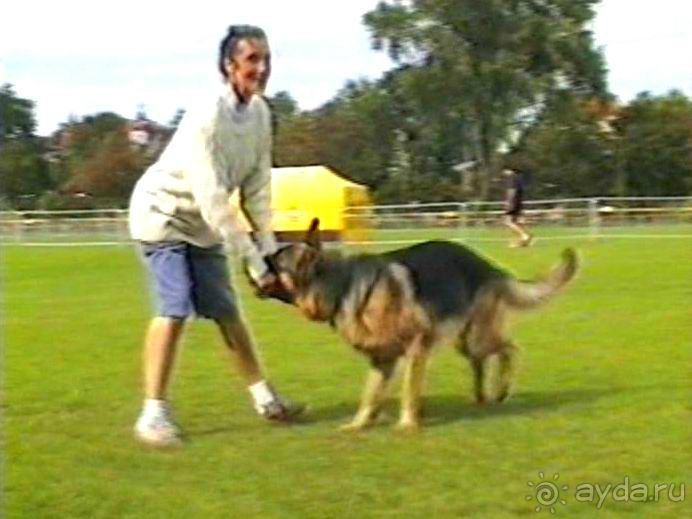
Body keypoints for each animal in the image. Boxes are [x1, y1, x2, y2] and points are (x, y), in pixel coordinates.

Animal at [262, 219, 576, 430]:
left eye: (274, 264)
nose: (256, 262)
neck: (342, 286)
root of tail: (491, 268)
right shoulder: (381, 361)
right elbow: (369, 395)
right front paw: (359, 425)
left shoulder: (415, 348)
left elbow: (408, 390)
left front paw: (407, 425)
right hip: (467, 342)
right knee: (482, 362)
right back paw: (481, 397)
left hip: (477, 338)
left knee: (511, 349)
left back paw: (501, 389)